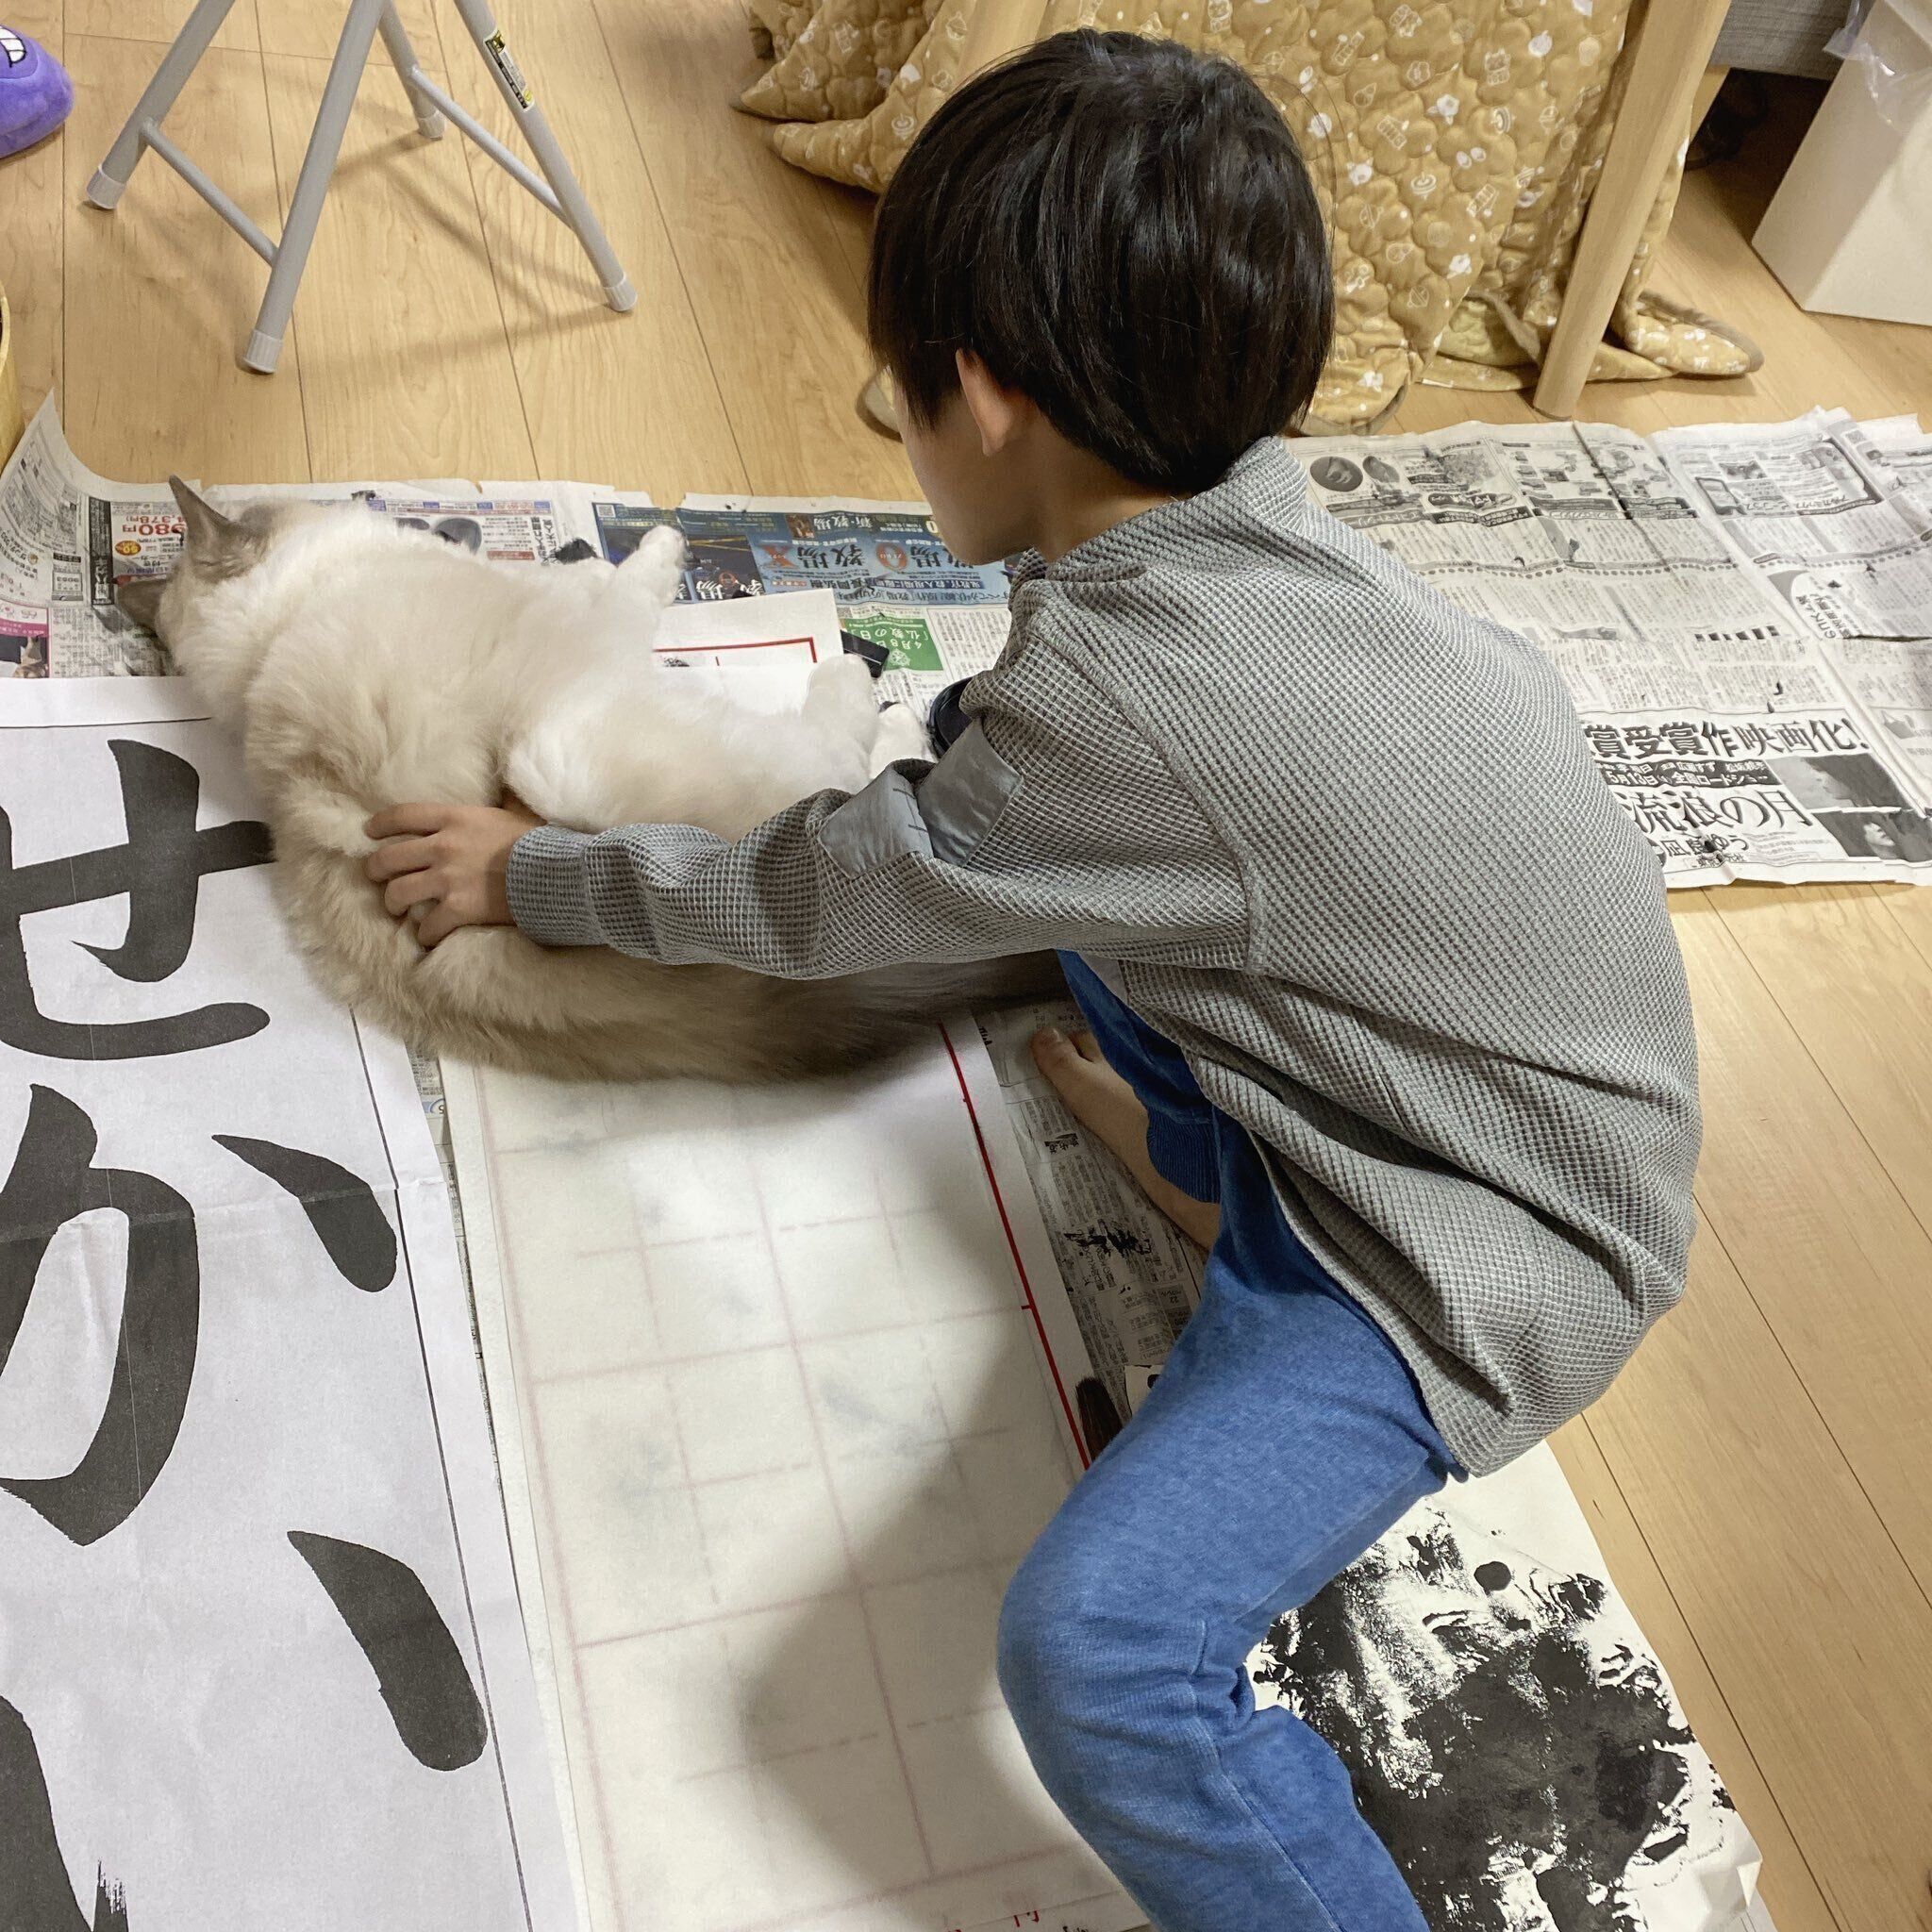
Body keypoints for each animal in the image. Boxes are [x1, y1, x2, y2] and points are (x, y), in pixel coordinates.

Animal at [116, 481, 1041, 1082]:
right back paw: (890, 710)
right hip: (581, 747)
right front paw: (653, 548)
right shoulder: (592, 624)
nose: (446, 527)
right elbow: (622, 579)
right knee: (849, 763)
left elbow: (590, 570)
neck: (269, 637)